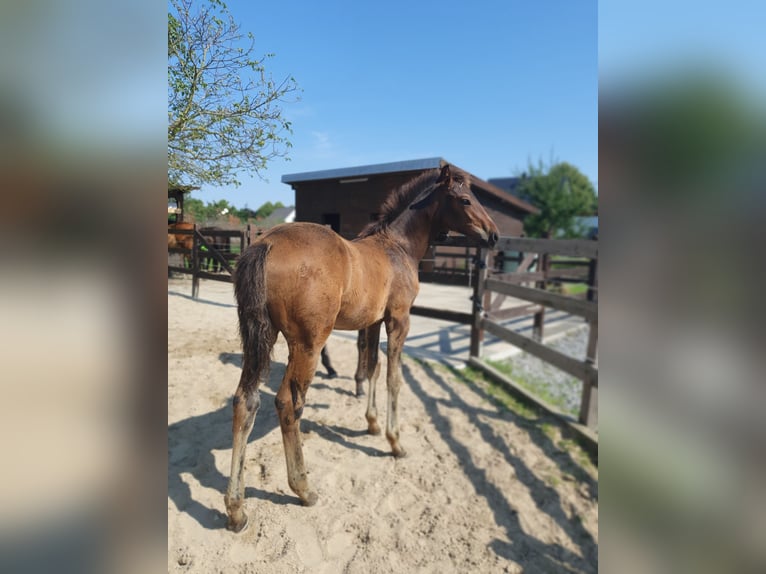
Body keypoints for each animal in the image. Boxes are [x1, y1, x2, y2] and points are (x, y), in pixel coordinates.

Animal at [225, 164, 500, 532]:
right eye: (466, 199)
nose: (494, 235)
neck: (398, 247)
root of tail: (267, 242)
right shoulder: (399, 319)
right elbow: (393, 378)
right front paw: (394, 441)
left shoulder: (372, 321)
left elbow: (372, 367)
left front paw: (370, 423)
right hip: (308, 343)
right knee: (288, 404)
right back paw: (303, 489)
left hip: (261, 336)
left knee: (246, 401)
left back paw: (236, 509)